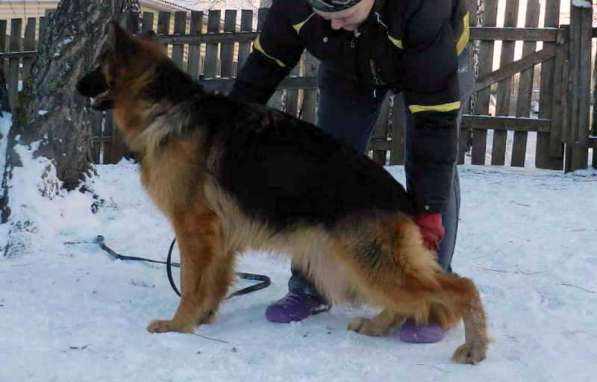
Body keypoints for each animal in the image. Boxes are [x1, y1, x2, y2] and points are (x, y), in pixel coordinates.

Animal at [77, 23, 486, 364]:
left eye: (97, 65)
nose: (77, 86)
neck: (166, 106)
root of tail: (401, 197)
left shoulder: (194, 230)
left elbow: (193, 283)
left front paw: (179, 325)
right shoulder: (219, 237)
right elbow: (215, 281)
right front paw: (205, 317)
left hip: (366, 262)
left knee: (462, 287)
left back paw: (474, 347)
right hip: (351, 263)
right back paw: (377, 324)